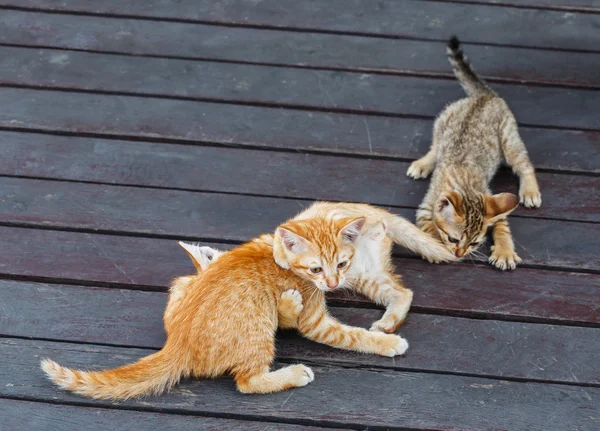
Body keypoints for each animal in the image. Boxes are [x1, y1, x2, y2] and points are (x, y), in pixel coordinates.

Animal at [41, 218, 408, 400]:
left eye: (343, 264)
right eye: (317, 269)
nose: (332, 283)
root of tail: (179, 342)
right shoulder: (315, 320)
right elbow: (351, 336)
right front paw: (387, 342)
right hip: (258, 329)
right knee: (247, 382)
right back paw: (292, 373)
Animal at [406, 38, 540, 274]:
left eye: (474, 243)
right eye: (453, 239)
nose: (460, 253)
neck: (464, 185)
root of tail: (484, 96)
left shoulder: (491, 199)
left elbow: (502, 226)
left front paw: (504, 251)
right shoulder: (426, 207)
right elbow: (429, 227)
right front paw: (434, 246)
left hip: (508, 139)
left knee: (524, 164)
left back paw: (530, 191)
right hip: (443, 121)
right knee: (435, 146)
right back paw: (423, 163)